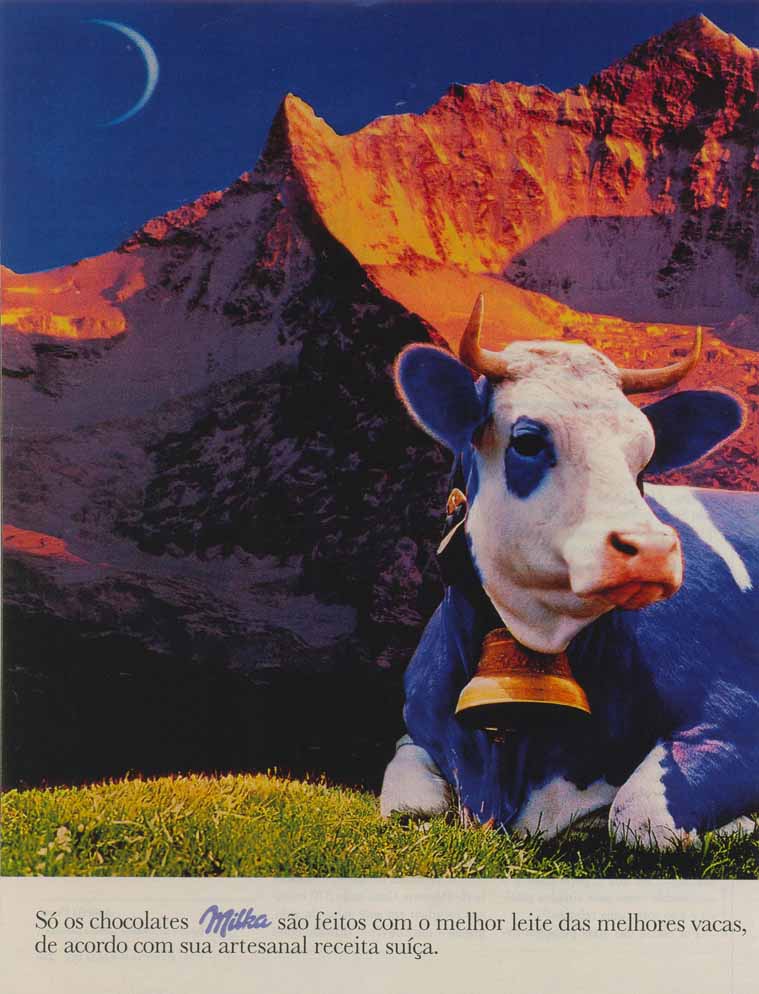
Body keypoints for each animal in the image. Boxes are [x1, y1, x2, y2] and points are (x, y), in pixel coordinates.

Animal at [380, 296, 759, 848]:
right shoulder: (417, 727)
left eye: (645, 459)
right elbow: (407, 803)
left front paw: (741, 822)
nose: (651, 549)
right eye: (528, 441)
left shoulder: (738, 714)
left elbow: (641, 815)